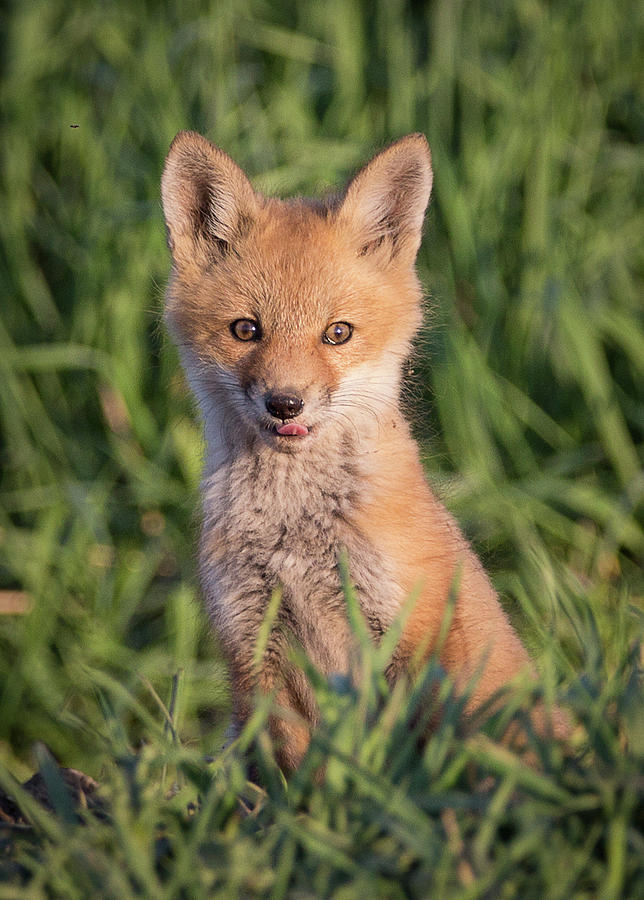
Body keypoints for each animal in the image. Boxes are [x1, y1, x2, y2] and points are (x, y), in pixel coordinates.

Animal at [162, 130, 564, 768]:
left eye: (338, 333)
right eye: (246, 330)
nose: (285, 404)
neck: (295, 538)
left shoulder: (413, 637)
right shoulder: (255, 649)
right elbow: (299, 776)